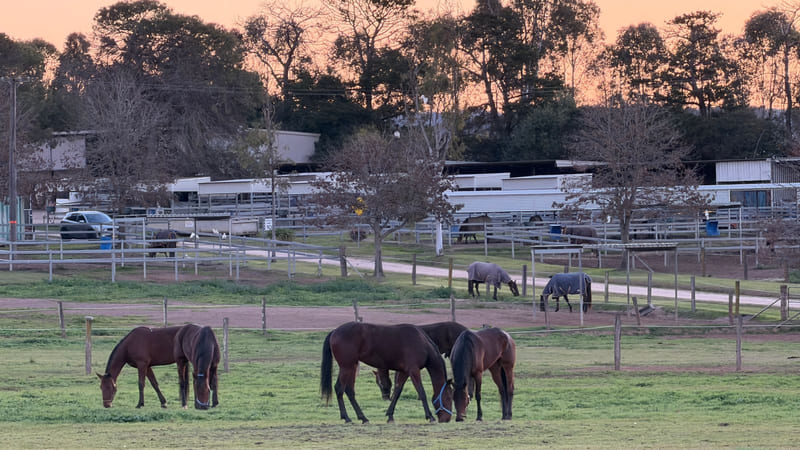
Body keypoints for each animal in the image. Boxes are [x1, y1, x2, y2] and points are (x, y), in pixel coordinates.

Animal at [320, 322, 453, 424]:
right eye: (449, 398)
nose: (447, 419)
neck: (421, 342)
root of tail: (334, 332)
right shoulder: (413, 370)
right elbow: (421, 392)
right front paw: (430, 416)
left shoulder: (404, 372)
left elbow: (397, 392)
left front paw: (390, 416)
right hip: (346, 367)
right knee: (339, 389)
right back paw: (347, 418)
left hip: (351, 366)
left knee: (349, 391)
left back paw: (363, 418)